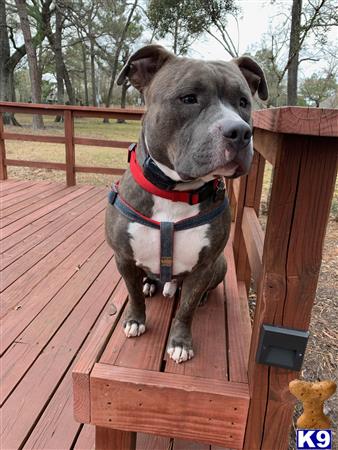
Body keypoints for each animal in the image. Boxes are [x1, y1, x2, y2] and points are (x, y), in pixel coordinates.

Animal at [105, 44, 266, 362]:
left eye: (243, 102)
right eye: (189, 98)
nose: (240, 131)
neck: (175, 192)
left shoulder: (203, 266)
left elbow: (186, 309)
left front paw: (180, 342)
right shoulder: (124, 258)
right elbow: (132, 294)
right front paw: (135, 320)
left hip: (220, 264)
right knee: (147, 282)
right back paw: (149, 284)